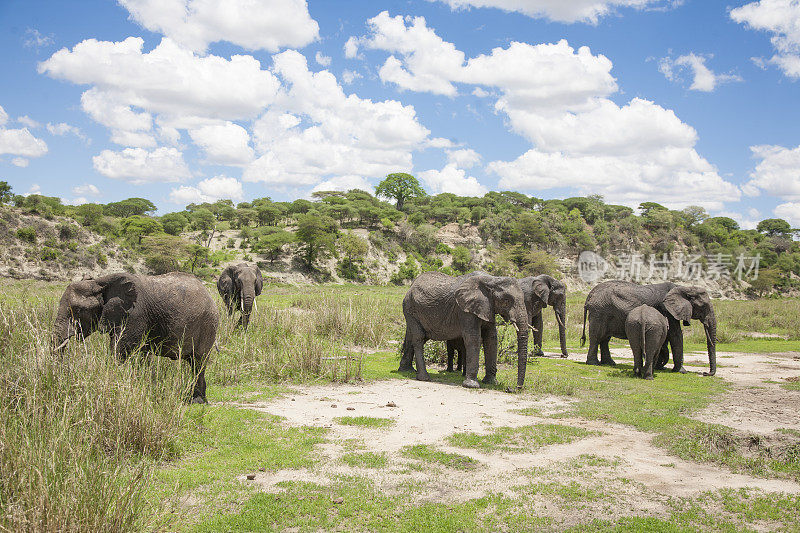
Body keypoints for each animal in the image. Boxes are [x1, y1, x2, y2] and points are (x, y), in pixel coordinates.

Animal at [52, 272, 219, 402]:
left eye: (78, 311)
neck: (99, 282)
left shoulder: (134, 314)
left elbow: (120, 350)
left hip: (208, 325)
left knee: (198, 362)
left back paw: (196, 401)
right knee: (194, 363)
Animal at [398, 272, 532, 388]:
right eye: (506, 300)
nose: (516, 388)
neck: (492, 280)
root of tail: (411, 287)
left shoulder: (487, 307)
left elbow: (491, 339)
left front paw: (491, 382)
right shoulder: (465, 310)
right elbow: (473, 338)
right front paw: (472, 385)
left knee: (413, 337)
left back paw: (406, 370)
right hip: (410, 308)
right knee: (419, 338)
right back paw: (423, 377)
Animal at [580, 280, 716, 376]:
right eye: (703, 307)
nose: (705, 373)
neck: (683, 287)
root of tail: (589, 295)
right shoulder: (667, 310)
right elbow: (676, 336)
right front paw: (681, 371)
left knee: (605, 339)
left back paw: (610, 363)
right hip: (599, 312)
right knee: (597, 337)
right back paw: (594, 363)